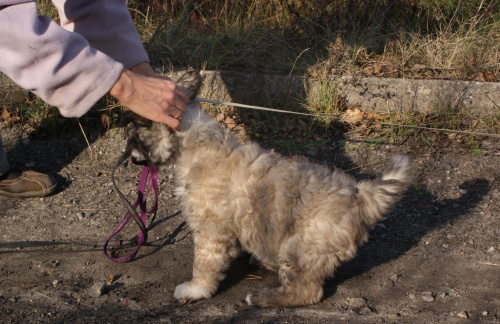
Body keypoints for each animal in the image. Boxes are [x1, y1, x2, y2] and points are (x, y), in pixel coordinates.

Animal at [123, 71, 412, 306]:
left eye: (134, 137)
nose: (128, 156)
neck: (196, 147)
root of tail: (359, 195)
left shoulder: (210, 232)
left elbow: (204, 264)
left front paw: (195, 289)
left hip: (299, 247)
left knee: (307, 291)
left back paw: (262, 297)